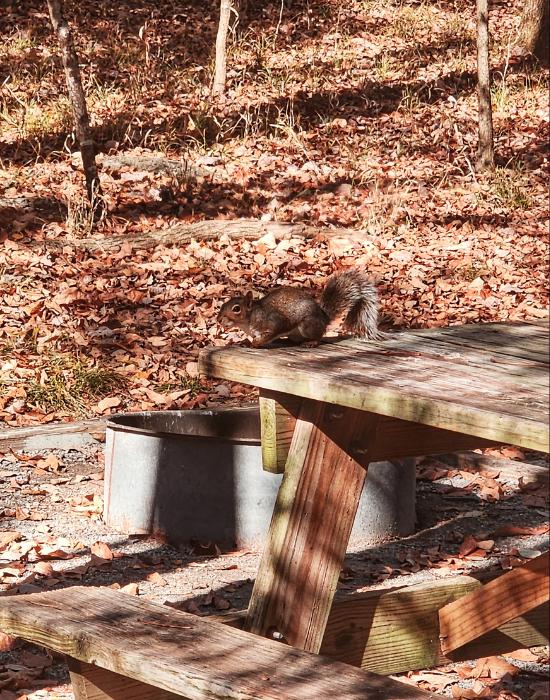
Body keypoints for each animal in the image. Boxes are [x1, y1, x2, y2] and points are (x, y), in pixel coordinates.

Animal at [217, 269, 383, 347]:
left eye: (236, 309)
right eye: (224, 304)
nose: (218, 320)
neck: (249, 319)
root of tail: (323, 318)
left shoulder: (272, 323)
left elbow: (270, 333)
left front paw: (254, 343)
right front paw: (245, 342)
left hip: (307, 325)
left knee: (319, 336)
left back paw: (311, 342)